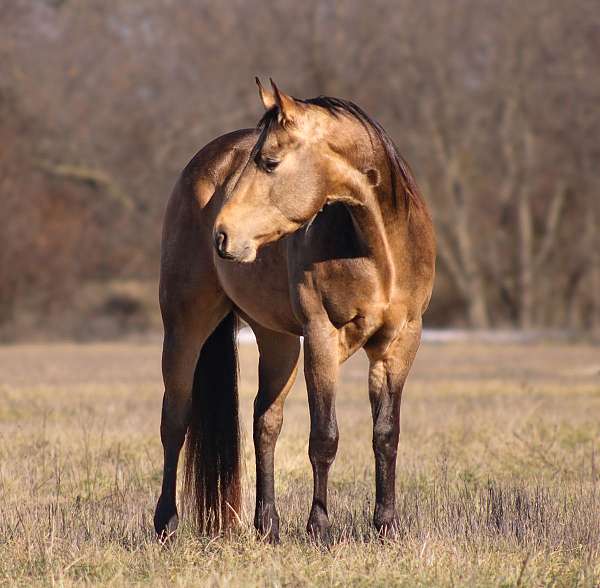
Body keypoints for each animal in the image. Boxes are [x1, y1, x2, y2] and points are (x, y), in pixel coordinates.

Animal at [154, 78, 436, 544]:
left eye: (269, 162)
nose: (222, 235)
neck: (378, 252)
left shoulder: (400, 343)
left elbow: (386, 434)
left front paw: (386, 525)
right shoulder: (321, 337)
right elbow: (324, 436)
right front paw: (319, 527)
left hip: (279, 341)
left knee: (265, 422)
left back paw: (268, 525)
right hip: (185, 325)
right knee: (175, 421)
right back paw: (166, 524)